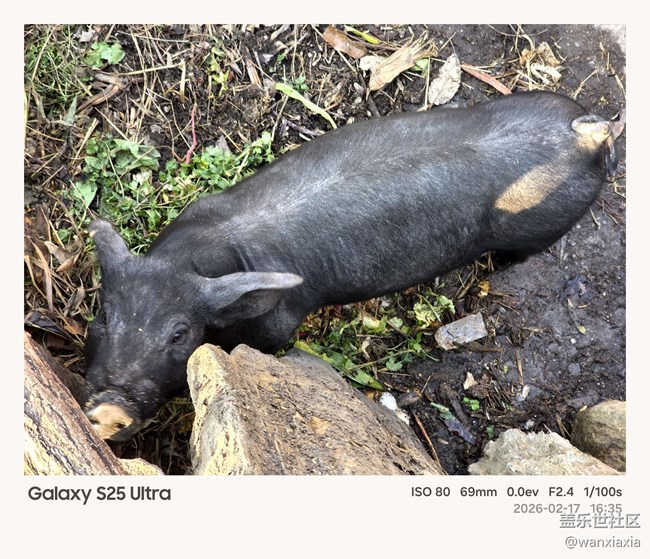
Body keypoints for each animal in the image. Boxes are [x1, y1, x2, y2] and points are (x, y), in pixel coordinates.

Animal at [83, 91, 619, 441]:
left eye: (180, 335)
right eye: (103, 315)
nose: (108, 407)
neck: (199, 256)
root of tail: (587, 135)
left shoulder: (279, 325)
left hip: (543, 225)